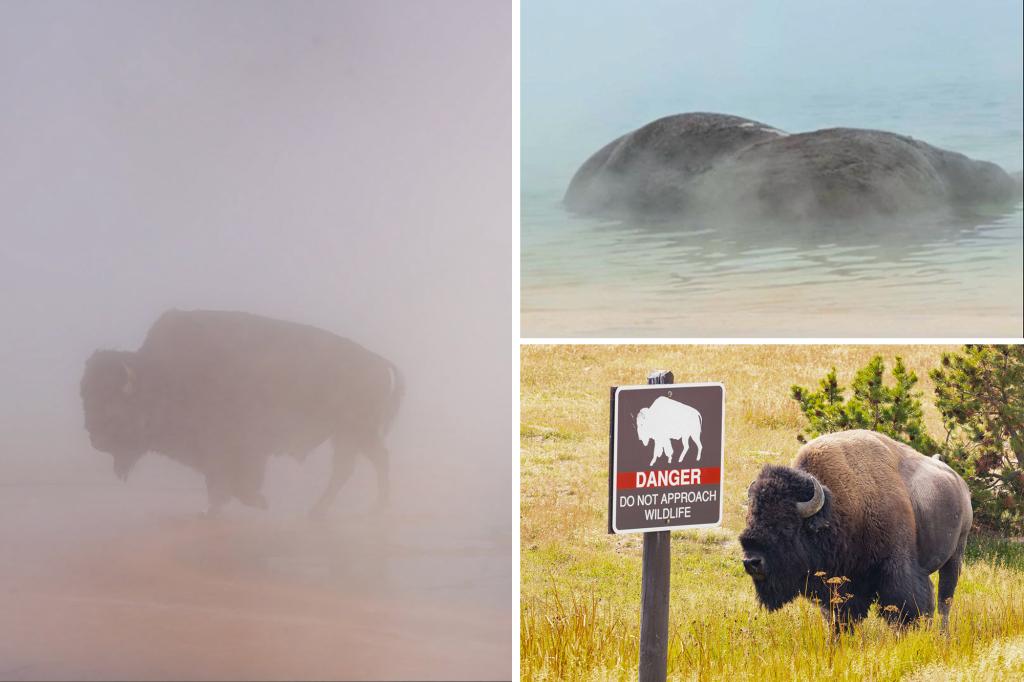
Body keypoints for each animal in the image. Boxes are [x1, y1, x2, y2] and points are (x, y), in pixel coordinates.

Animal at [81, 309, 403, 517]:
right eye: (86, 396)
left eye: (112, 402)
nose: (94, 440)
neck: (162, 375)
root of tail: (379, 362)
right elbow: (218, 482)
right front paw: (214, 508)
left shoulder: (235, 447)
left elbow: (233, 480)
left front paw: (253, 502)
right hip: (347, 435)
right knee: (353, 467)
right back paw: (324, 510)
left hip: (357, 432)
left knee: (371, 462)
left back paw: (371, 508)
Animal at [739, 430, 972, 631]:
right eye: (750, 519)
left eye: (786, 525)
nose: (752, 562)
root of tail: (959, 482)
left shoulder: (895, 570)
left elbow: (904, 607)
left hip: (955, 555)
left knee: (944, 600)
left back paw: (942, 635)